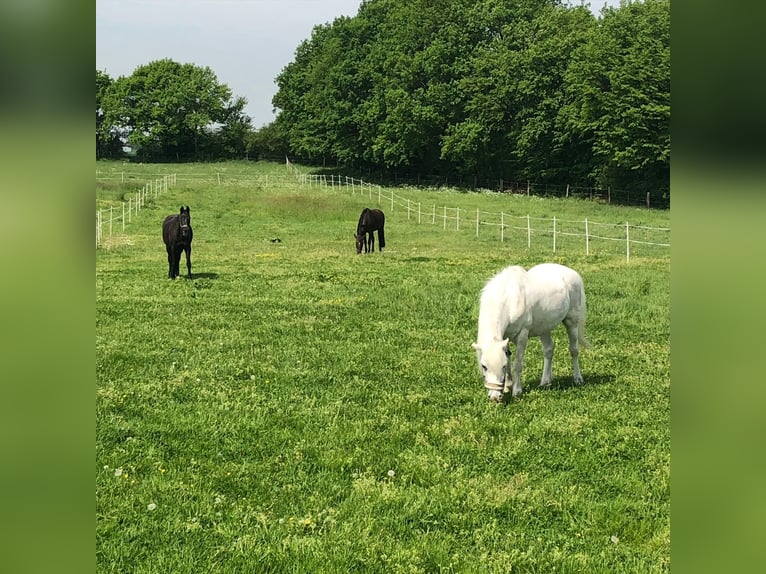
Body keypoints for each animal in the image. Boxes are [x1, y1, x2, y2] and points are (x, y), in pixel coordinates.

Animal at [472, 263, 589, 402]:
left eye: (502, 366)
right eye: (484, 366)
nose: (495, 397)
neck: (509, 299)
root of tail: (574, 274)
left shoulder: (522, 335)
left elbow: (517, 364)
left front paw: (517, 391)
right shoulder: (505, 337)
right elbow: (509, 358)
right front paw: (507, 387)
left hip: (572, 322)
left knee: (574, 350)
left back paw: (578, 379)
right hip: (544, 327)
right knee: (549, 350)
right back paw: (545, 382)